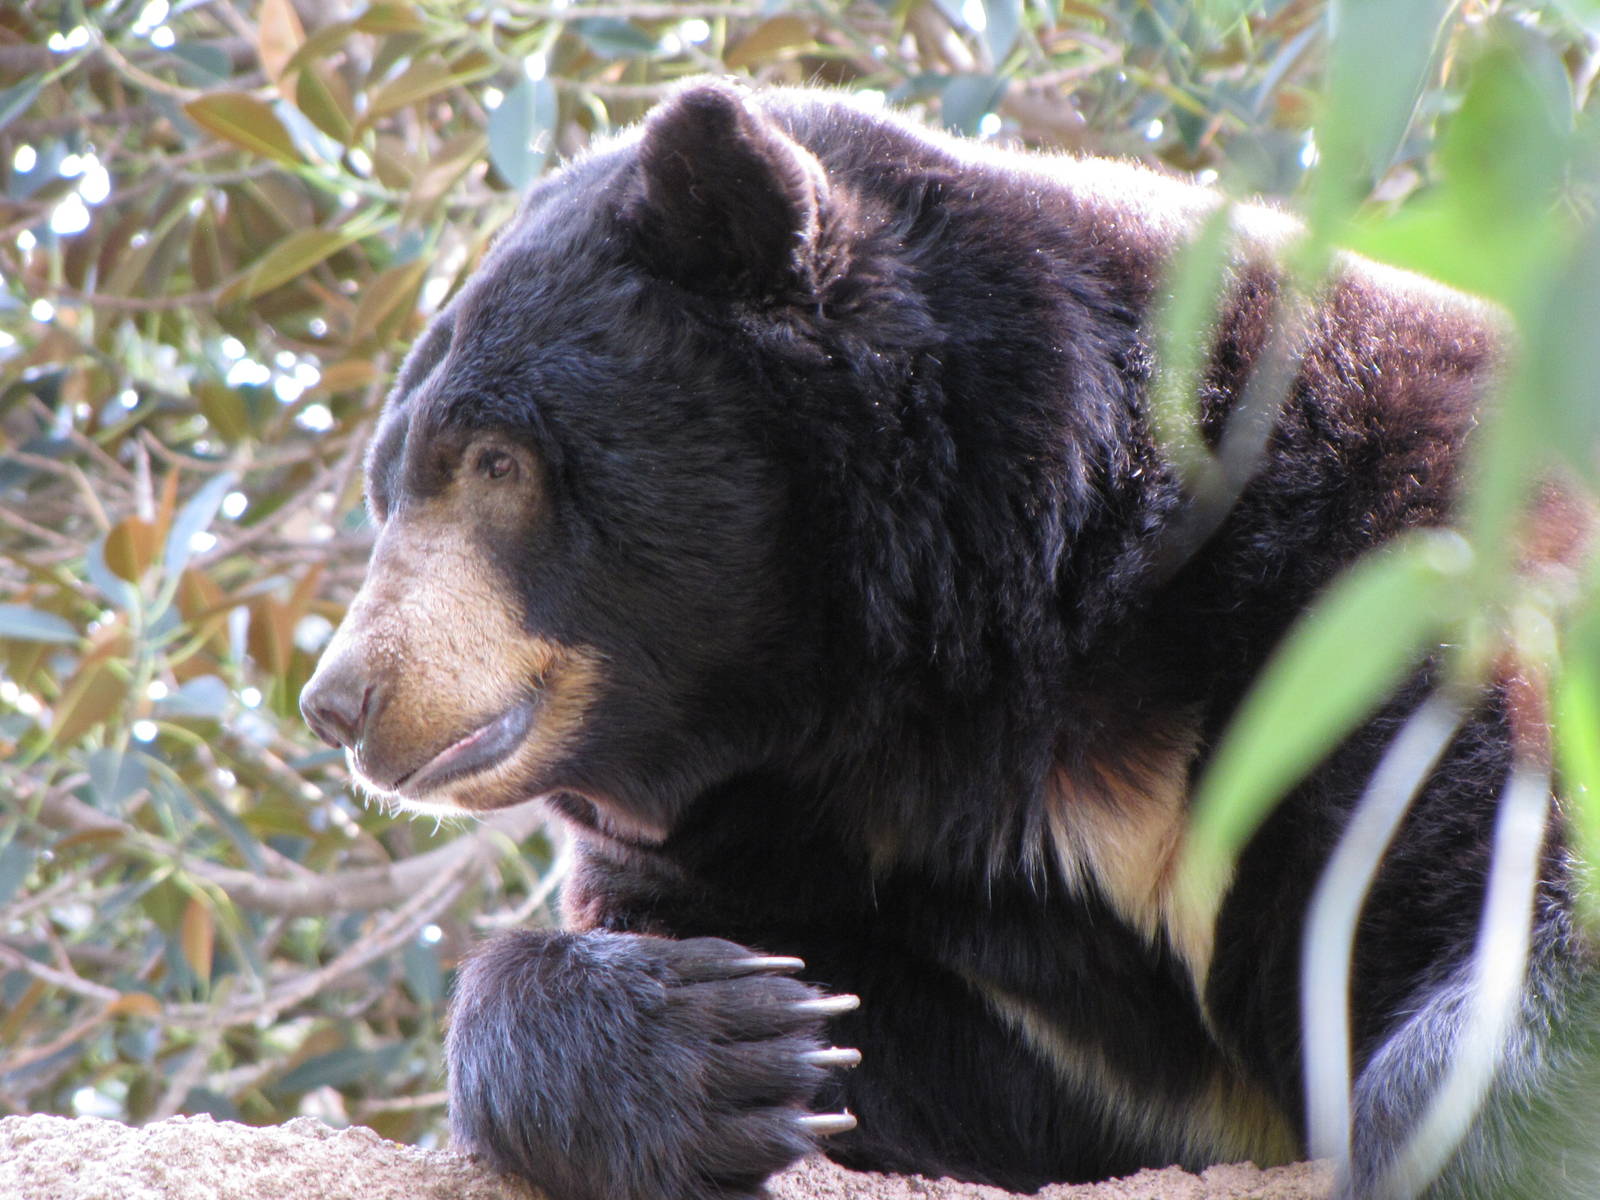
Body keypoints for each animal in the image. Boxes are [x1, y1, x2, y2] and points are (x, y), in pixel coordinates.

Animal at [298, 81, 1594, 1200]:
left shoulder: (1376, 568)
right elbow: (953, 1075)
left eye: (491, 461)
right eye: (385, 486)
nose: (343, 699)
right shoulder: (824, 852)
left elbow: (1513, 844)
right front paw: (736, 1046)